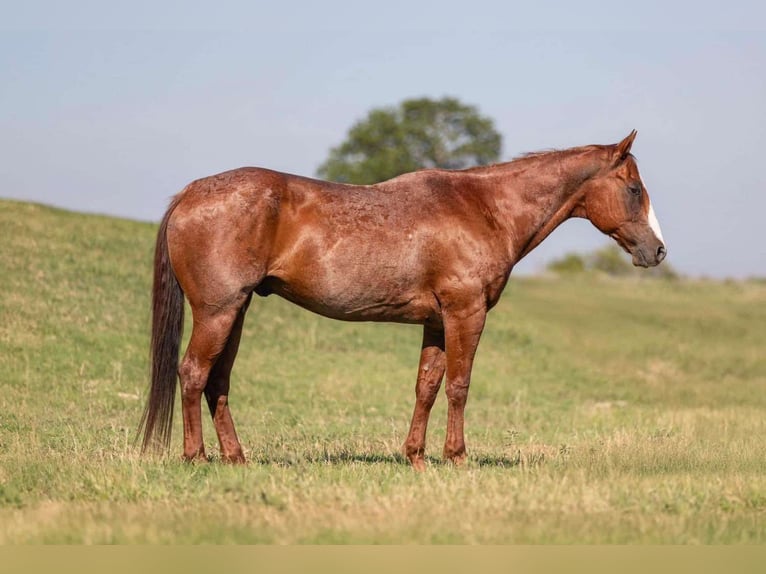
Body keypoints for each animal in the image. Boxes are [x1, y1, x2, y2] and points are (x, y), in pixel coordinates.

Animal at [139, 130, 666, 470]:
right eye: (634, 188)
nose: (657, 251)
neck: (485, 208)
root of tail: (190, 193)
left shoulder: (436, 322)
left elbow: (426, 387)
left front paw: (416, 457)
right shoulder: (465, 313)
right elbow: (459, 386)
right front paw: (457, 458)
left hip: (237, 310)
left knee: (217, 381)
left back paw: (236, 458)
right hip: (218, 311)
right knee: (193, 373)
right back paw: (195, 457)